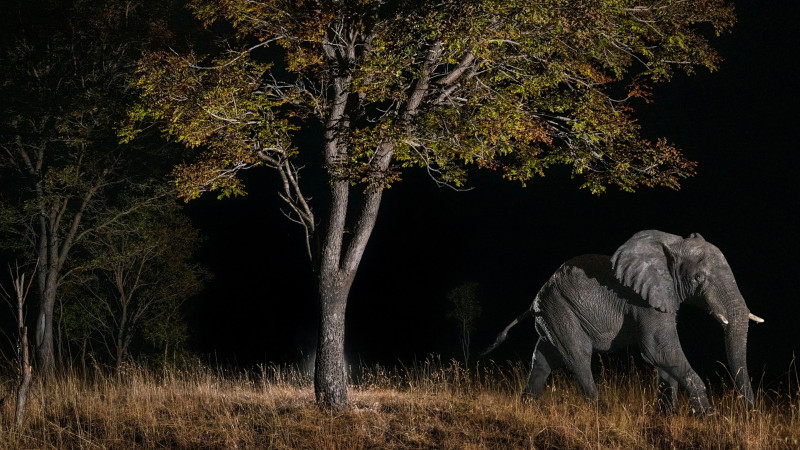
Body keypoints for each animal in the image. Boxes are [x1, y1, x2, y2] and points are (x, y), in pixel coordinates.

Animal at [483, 230, 764, 415]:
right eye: (698, 278)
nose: (750, 413)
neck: (672, 245)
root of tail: (533, 304)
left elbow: (664, 357)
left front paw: (666, 417)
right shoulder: (642, 299)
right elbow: (658, 349)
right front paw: (709, 417)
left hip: (551, 315)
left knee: (543, 359)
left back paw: (526, 408)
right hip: (560, 308)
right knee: (577, 356)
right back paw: (601, 411)